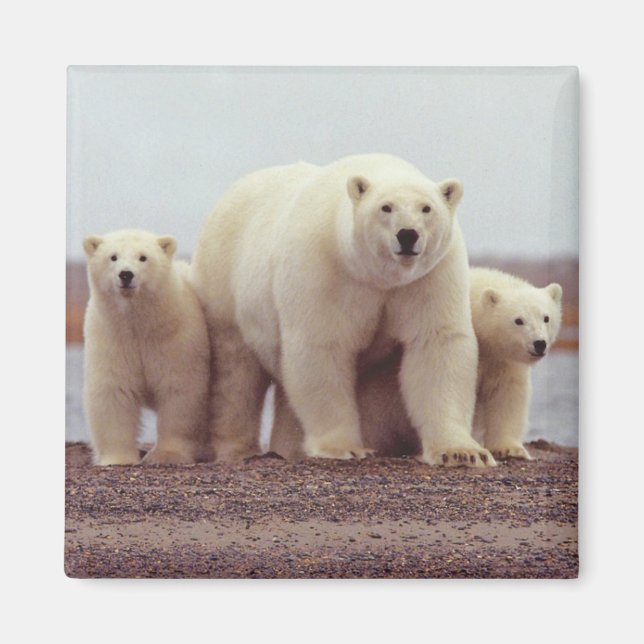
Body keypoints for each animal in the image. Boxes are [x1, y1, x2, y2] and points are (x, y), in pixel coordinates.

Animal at [82, 229, 211, 466]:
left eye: (143, 257)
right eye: (113, 257)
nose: (126, 274)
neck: (140, 324)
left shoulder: (176, 338)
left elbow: (179, 391)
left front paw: (167, 455)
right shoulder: (112, 338)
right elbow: (114, 391)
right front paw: (118, 458)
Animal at [191, 154, 495, 467]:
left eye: (426, 208)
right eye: (386, 207)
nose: (407, 235)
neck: (377, 276)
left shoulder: (429, 276)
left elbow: (436, 343)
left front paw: (462, 452)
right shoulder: (325, 269)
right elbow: (323, 347)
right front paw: (345, 447)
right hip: (225, 283)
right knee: (235, 373)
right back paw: (238, 448)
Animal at [282, 267, 562, 462]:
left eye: (546, 317)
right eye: (518, 320)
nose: (539, 344)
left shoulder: (501, 360)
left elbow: (507, 395)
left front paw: (510, 449)